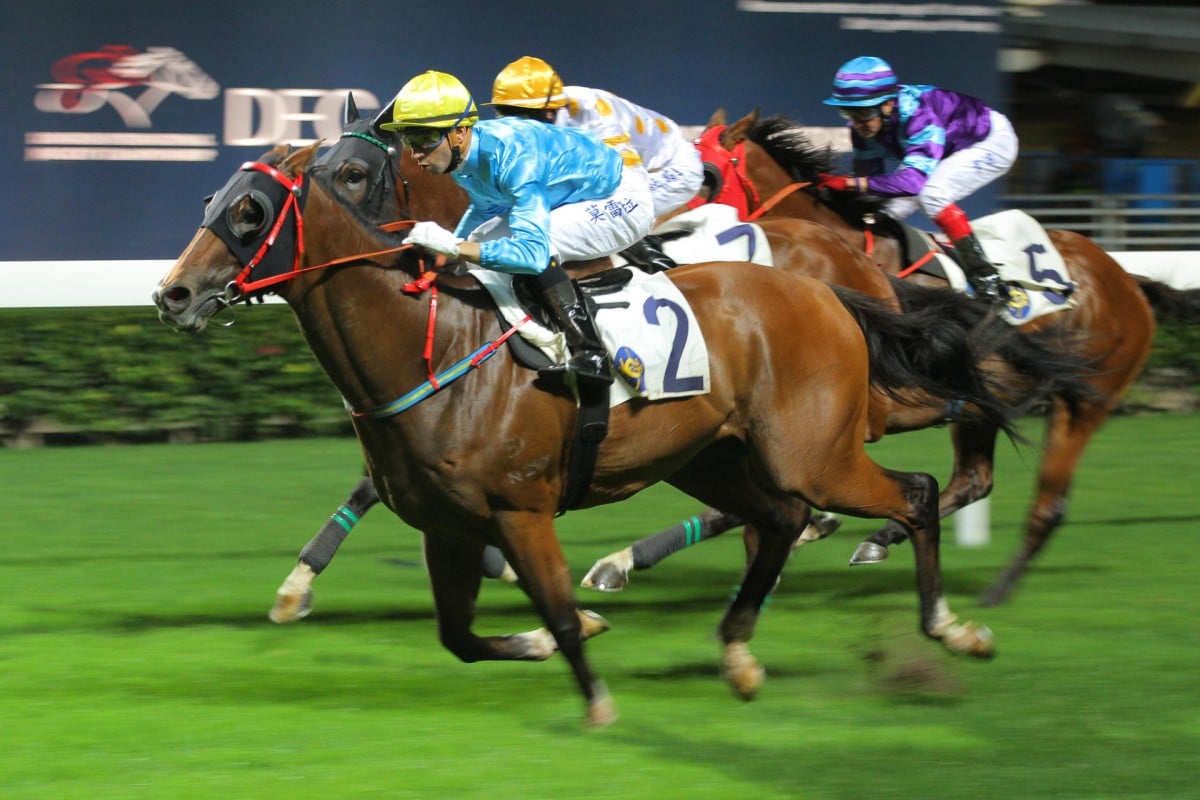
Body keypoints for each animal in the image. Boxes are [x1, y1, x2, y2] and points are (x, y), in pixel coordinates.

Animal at [152, 142, 1012, 724]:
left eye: (250, 213)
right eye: (210, 201)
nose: (173, 294)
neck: (435, 342)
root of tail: (831, 290)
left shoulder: (520, 508)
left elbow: (559, 611)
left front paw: (596, 698)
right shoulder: (447, 525)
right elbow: (458, 634)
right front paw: (542, 640)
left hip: (816, 451)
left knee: (914, 489)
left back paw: (950, 624)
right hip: (712, 457)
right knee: (781, 519)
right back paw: (739, 651)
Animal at [705, 107, 1200, 606]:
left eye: (705, 174)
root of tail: (1129, 280)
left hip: (1083, 403)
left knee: (1048, 502)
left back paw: (996, 592)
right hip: (986, 404)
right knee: (973, 480)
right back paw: (881, 540)